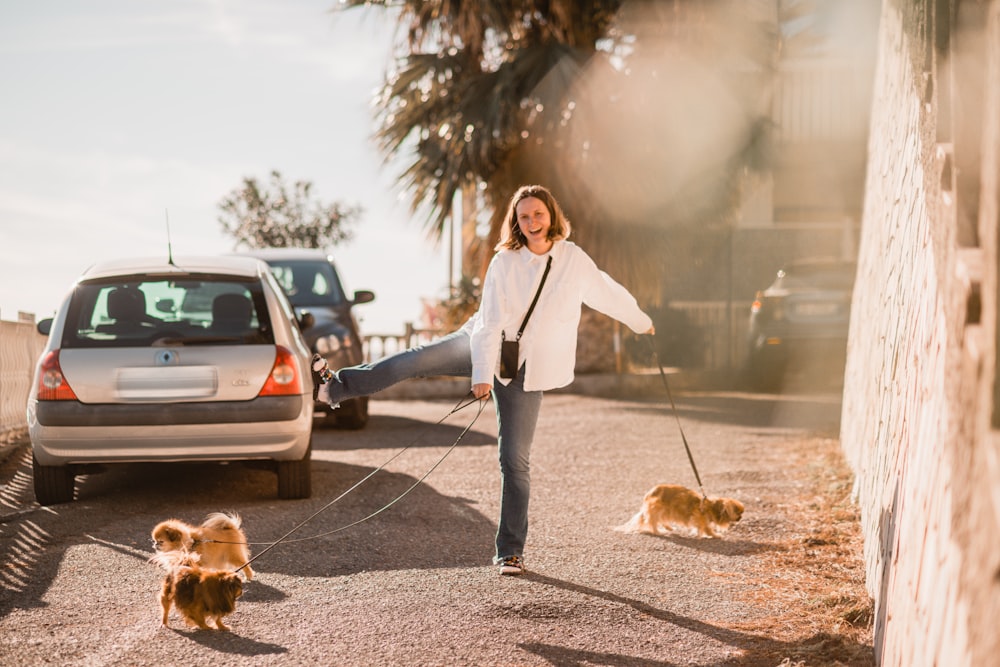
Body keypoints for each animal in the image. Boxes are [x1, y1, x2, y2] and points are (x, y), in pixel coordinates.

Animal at [612, 482, 748, 540]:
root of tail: (649, 494)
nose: (741, 518)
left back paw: (668, 527)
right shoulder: (700, 518)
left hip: (665, 510)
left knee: (660, 520)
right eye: (738, 513)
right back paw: (659, 531)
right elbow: (707, 528)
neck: (711, 506)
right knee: (653, 522)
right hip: (658, 508)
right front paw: (714, 535)